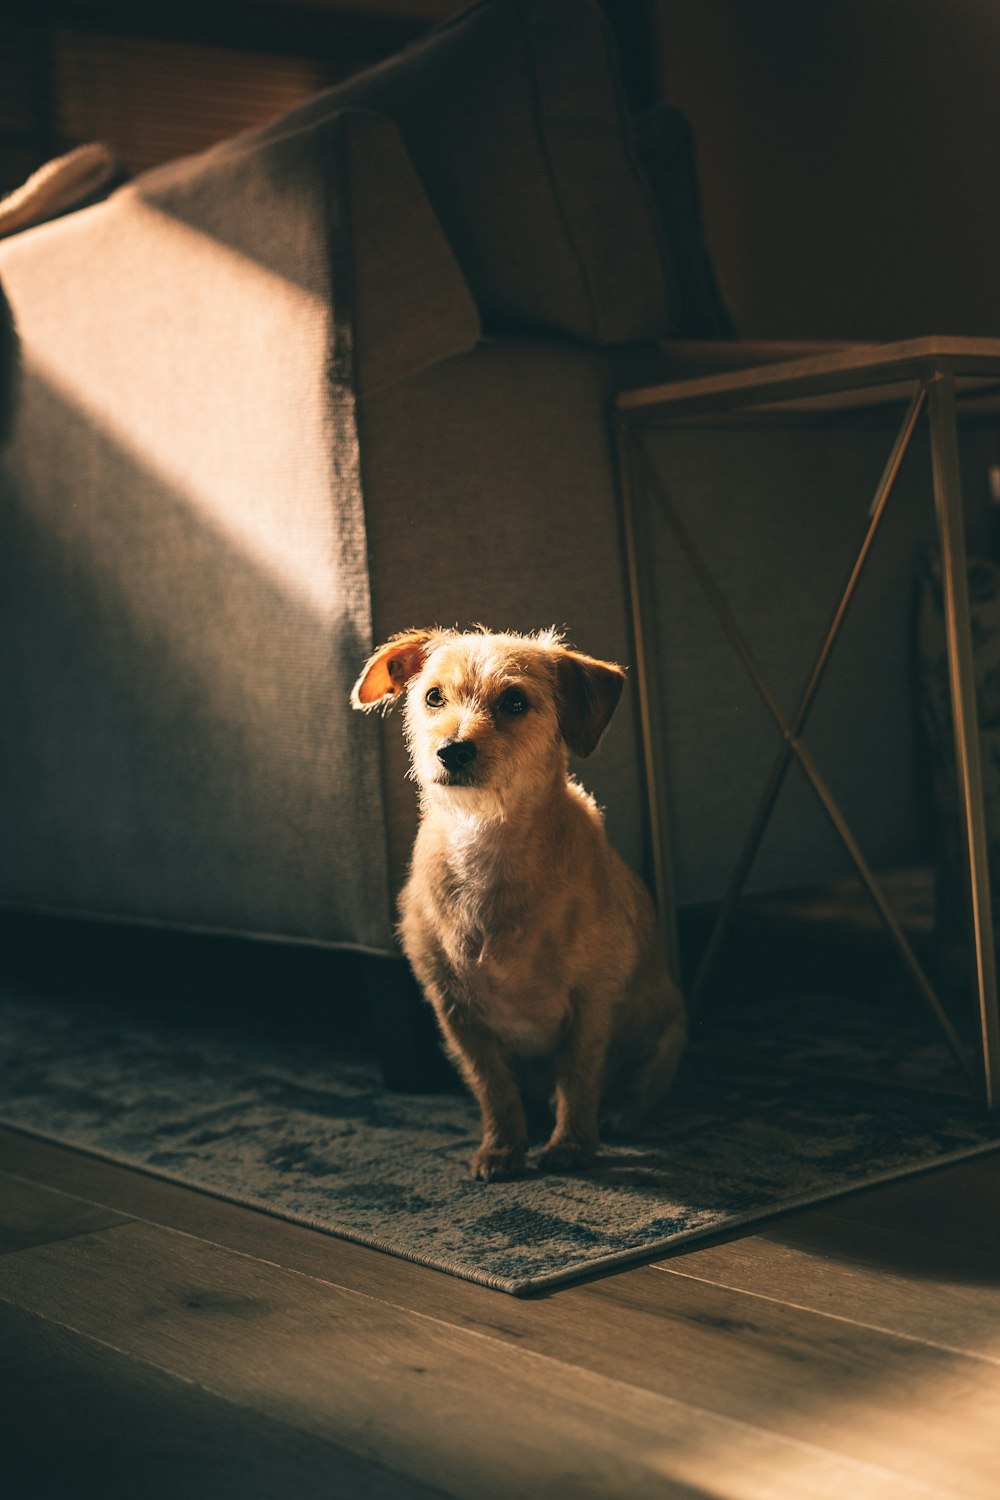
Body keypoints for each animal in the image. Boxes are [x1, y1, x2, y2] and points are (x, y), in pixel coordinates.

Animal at [352, 627, 689, 1176]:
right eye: (433, 697)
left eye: (514, 702)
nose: (452, 751)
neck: (487, 836)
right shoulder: (456, 1012)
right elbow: (493, 1087)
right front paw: (503, 1147)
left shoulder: (590, 1002)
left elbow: (578, 1077)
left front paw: (571, 1146)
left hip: (667, 1032)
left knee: (643, 1088)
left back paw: (621, 1113)